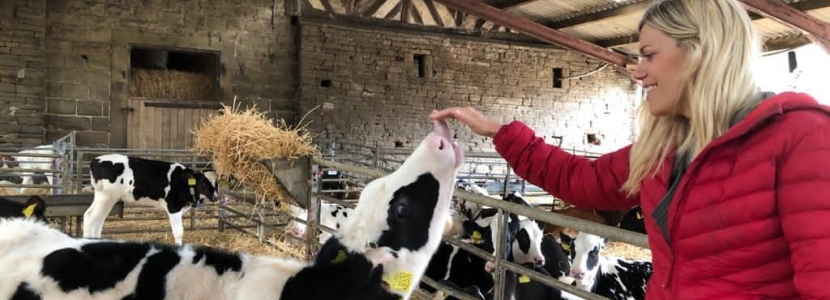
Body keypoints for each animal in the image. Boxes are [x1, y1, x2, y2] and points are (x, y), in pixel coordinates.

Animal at [83, 155, 221, 246]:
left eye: (217, 183)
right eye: (203, 183)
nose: (216, 197)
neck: (183, 182)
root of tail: (95, 160)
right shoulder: (173, 207)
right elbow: (179, 232)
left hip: (107, 199)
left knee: (98, 219)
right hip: (106, 196)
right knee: (90, 217)